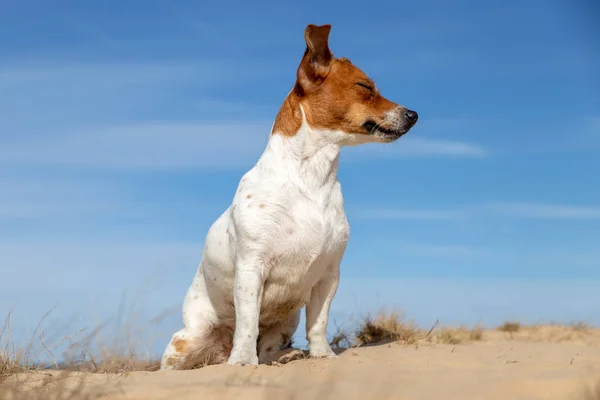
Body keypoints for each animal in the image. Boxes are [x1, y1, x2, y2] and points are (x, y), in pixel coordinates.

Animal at [162, 24, 420, 368]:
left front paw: (322, 355)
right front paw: (242, 362)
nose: (414, 114)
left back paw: (286, 356)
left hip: (286, 322)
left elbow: (318, 323)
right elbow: (247, 323)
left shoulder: (328, 275)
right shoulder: (251, 268)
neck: (311, 179)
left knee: (269, 349)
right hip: (185, 342)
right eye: (365, 86)